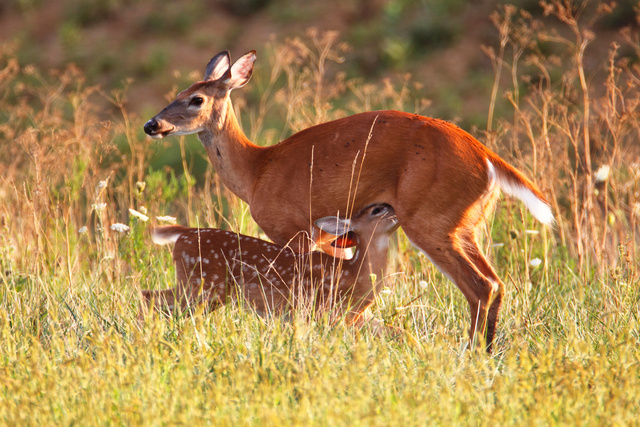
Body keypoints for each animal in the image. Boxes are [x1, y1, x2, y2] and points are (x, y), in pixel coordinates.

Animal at [140, 204, 399, 329]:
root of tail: (184, 233)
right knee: (150, 296)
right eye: (377, 209)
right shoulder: (321, 310)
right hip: (200, 286)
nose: (398, 210)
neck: (354, 274)